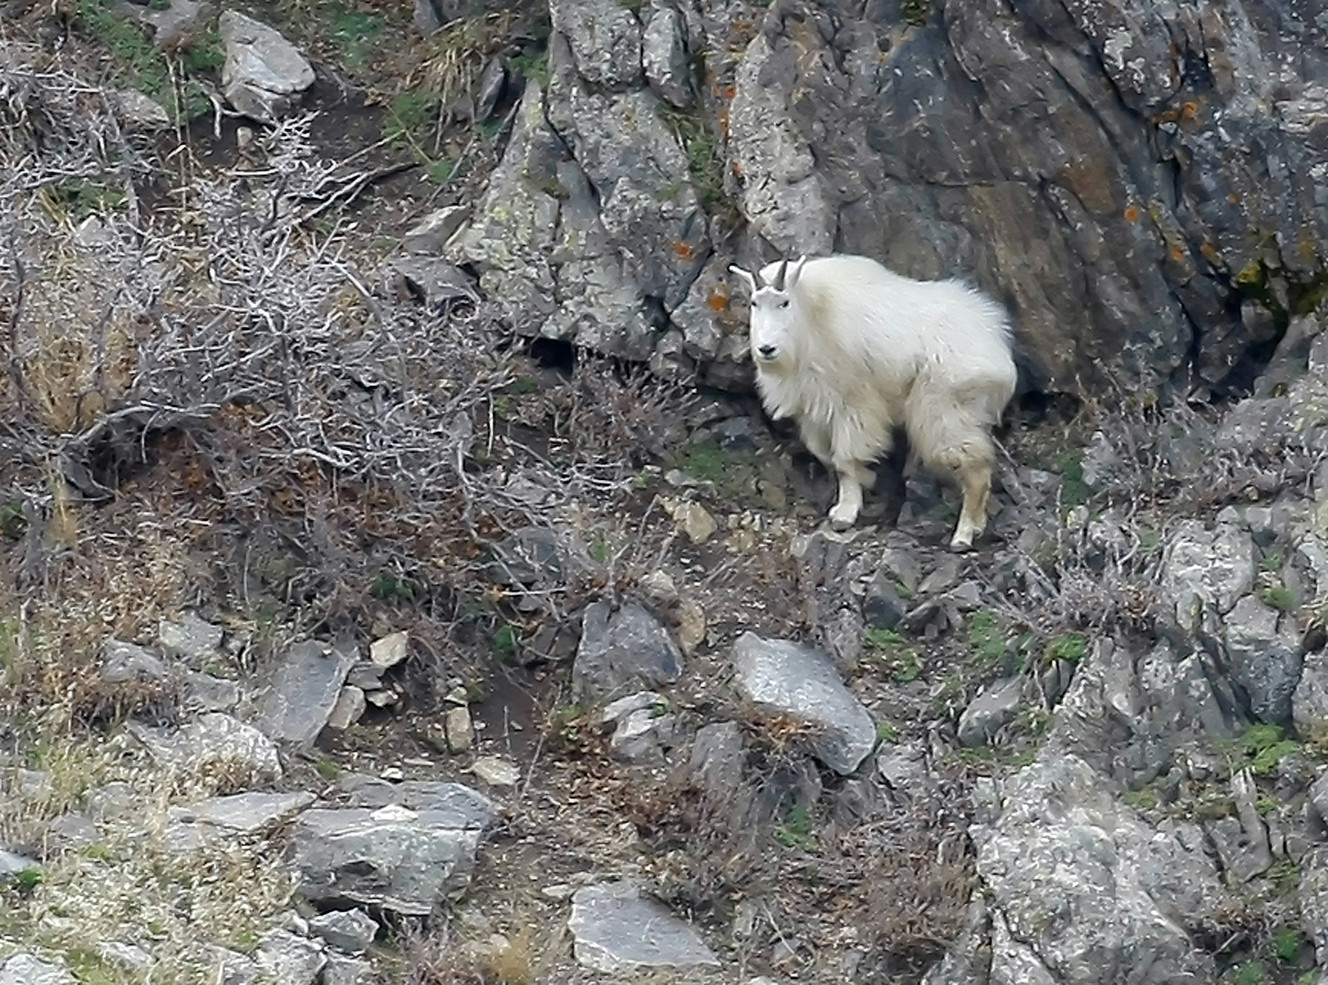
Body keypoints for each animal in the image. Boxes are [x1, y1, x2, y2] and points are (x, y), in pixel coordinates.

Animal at [728, 253, 1018, 551]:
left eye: (783, 302)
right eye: (753, 303)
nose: (766, 349)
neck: (813, 316)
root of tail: (997, 345)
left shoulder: (853, 403)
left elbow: (844, 459)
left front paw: (845, 512)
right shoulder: (813, 406)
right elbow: (822, 453)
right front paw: (868, 478)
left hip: (944, 408)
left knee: (975, 468)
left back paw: (964, 533)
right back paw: (978, 524)